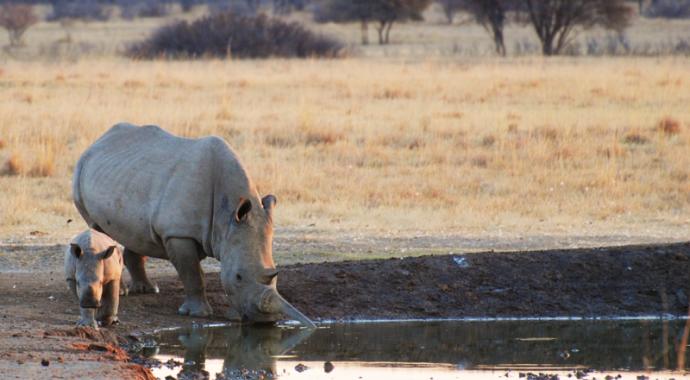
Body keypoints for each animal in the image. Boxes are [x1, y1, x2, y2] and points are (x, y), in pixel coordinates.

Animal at [72, 124, 314, 326]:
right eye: (238, 276)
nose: (266, 321)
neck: (227, 217)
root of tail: (99, 140)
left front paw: (235, 316)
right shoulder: (178, 234)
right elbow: (192, 273)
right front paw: (198, 314)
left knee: (136, 233)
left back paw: (148, 290)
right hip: (80, 170)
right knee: (98, 229)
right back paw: (123, 292)